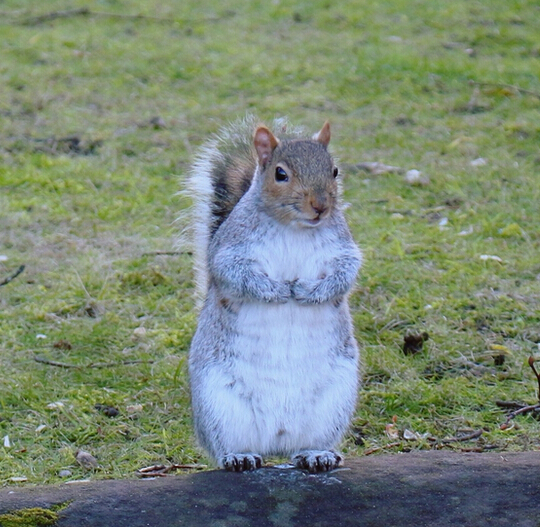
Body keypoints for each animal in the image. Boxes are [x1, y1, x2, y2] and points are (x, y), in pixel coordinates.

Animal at [187, 116, 362, 474]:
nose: (320, 206)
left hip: (333, 403)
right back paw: (238, 457)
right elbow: (234, 273)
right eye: (281, 174)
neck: (294, 227)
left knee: (309, 442)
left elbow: (345, 274)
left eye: (334, 170)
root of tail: (277, 441)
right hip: (218, 404)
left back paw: (317, 455)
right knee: (229, 444)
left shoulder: (343, 249)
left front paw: (310, 292)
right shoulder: (230, 249)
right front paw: (276, 290)